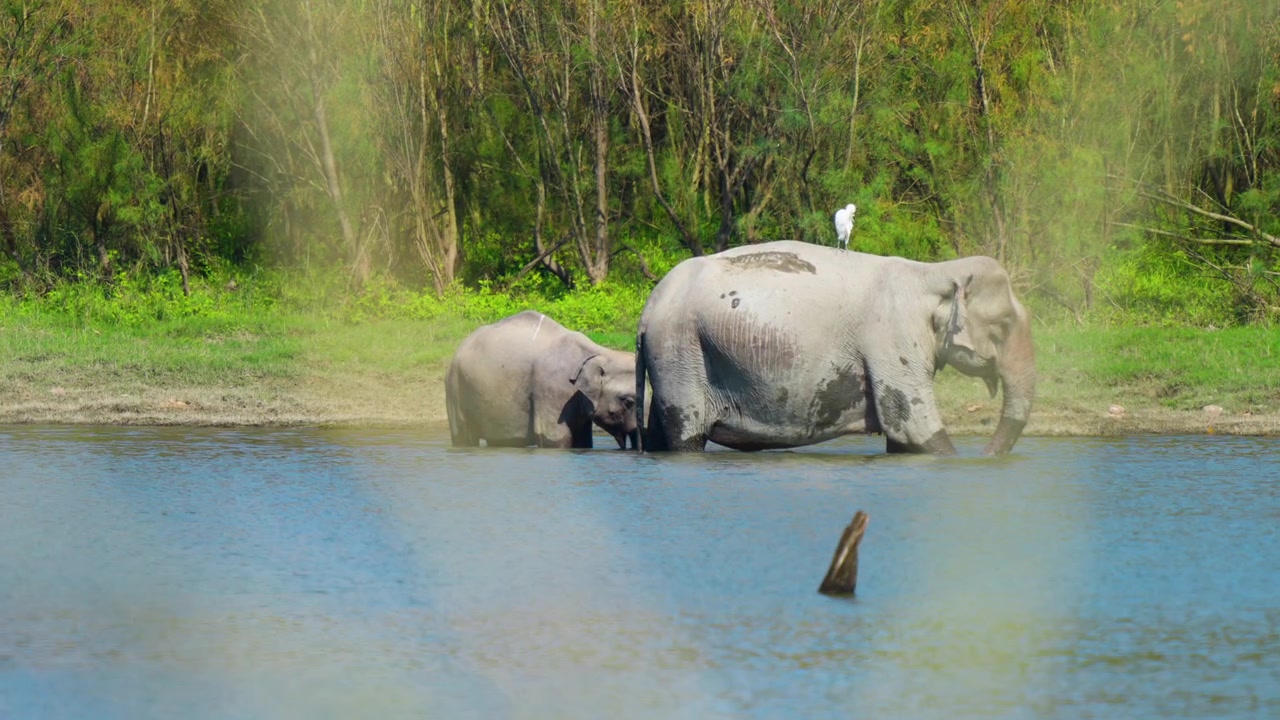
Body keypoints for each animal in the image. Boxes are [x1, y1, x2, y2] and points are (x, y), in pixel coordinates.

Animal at [446, 310, 638, 449]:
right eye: (628, 401)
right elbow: (556, 439)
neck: (600, 352)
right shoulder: (551, 389)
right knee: (463, 436)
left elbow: (583, 441)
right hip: (455, 388)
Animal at [634, 241, 1035, 455]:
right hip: (681, 350)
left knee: (657, 436)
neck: (932, 272)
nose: (984, 457)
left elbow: (901, 437)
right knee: (687, 438)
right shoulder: (893, 341)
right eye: (1002, 325)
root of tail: (648, 310)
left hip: (671, 357)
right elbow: (914, 427)